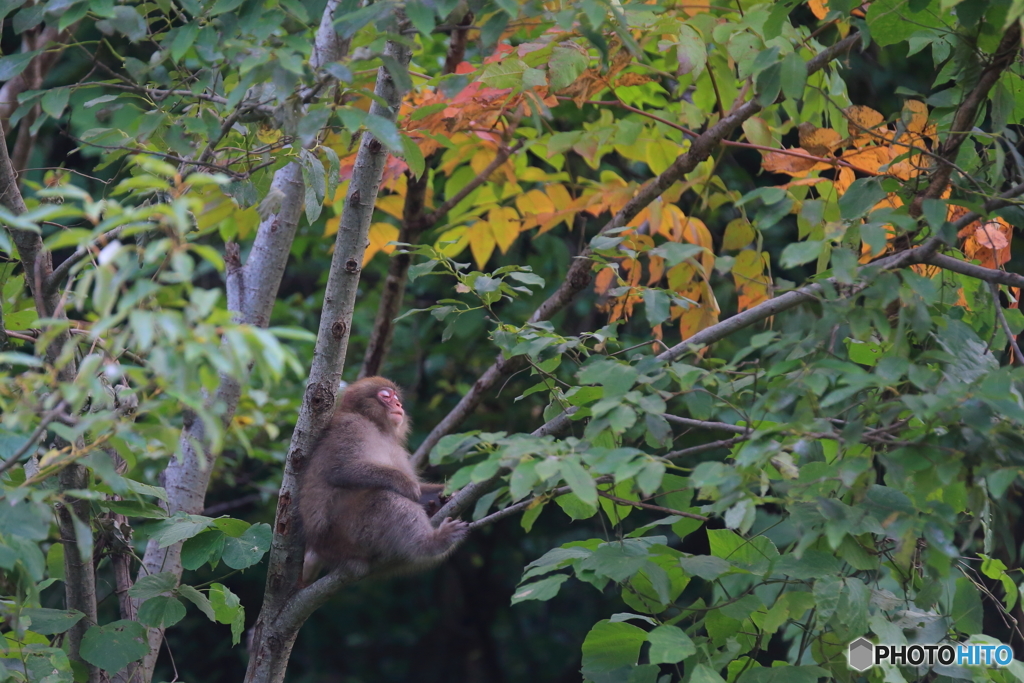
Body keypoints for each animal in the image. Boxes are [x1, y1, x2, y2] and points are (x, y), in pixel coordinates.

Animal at [299, 374, 468, 581]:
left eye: (396, 397)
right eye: (386, 396)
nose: (398, 404)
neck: (377, 427)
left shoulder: (396, 447)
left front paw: (447, 494)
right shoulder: (351, 426)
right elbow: (340, 470)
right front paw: (404, 484)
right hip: (345, 535)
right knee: (384, 498)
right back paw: (432, 543)